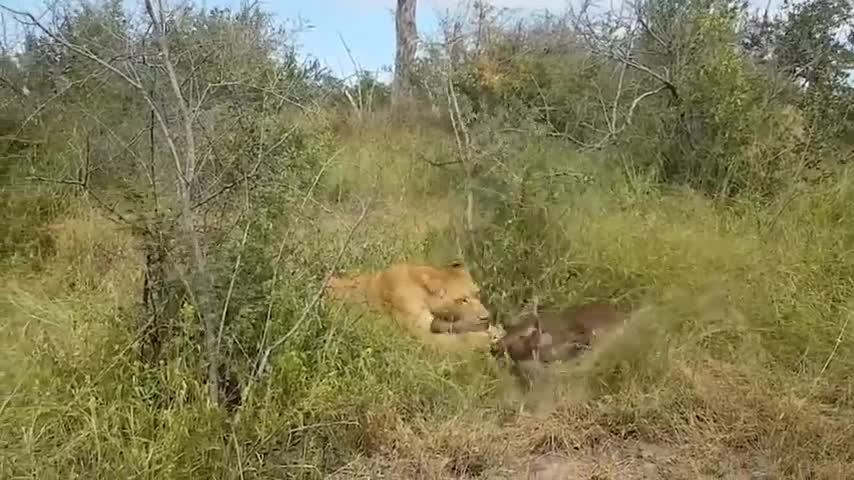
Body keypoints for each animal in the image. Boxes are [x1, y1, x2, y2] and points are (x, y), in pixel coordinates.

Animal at [326, 260, 502, 350]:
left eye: (477, 294)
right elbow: (461, 340)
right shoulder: (421, 335)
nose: (486, 317)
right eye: (462, 300)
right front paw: (489, 337)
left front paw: (494, 330)